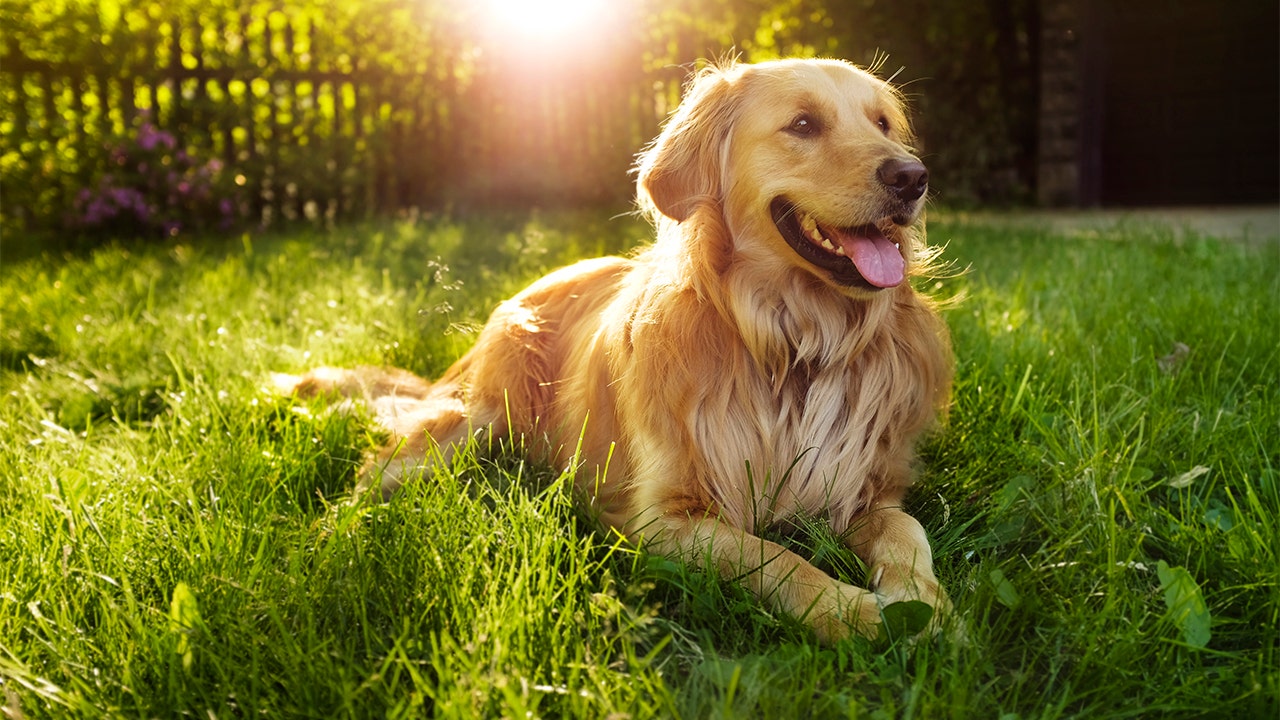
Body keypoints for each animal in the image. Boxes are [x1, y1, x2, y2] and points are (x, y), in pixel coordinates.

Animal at [285, 57, 957, 638]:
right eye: (803, 125)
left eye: (882, 123)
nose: (913, 177)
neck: (794, 343)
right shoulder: (662, 518)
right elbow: (771, 555)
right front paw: (852, 612)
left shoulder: (865, 486)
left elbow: (906, 530)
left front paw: (923, 603)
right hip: (476, 421)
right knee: (373, 474)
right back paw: (327, 544)